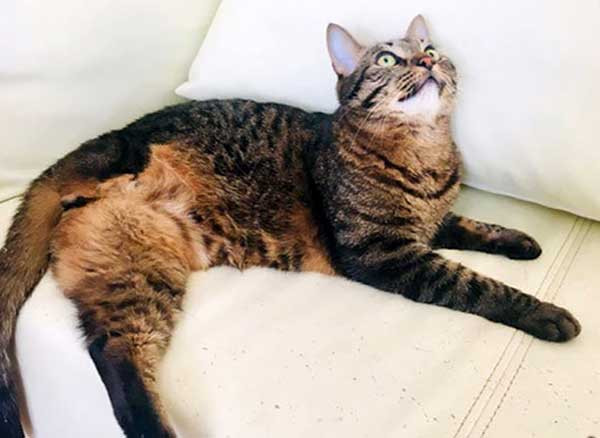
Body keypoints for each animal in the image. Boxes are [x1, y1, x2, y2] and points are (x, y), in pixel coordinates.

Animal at [0, 15, 580, 438]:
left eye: (431, 49)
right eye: (387, 58)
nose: (427, 58)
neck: (427, 152)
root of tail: (111, 141)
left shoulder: (425, 225)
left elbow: (469, 225)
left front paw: (519, 241)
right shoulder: (383, 252)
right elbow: (478, 285)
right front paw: (546, 312)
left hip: (138, 266)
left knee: (110, 346)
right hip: (138, 265)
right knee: (117, 357)